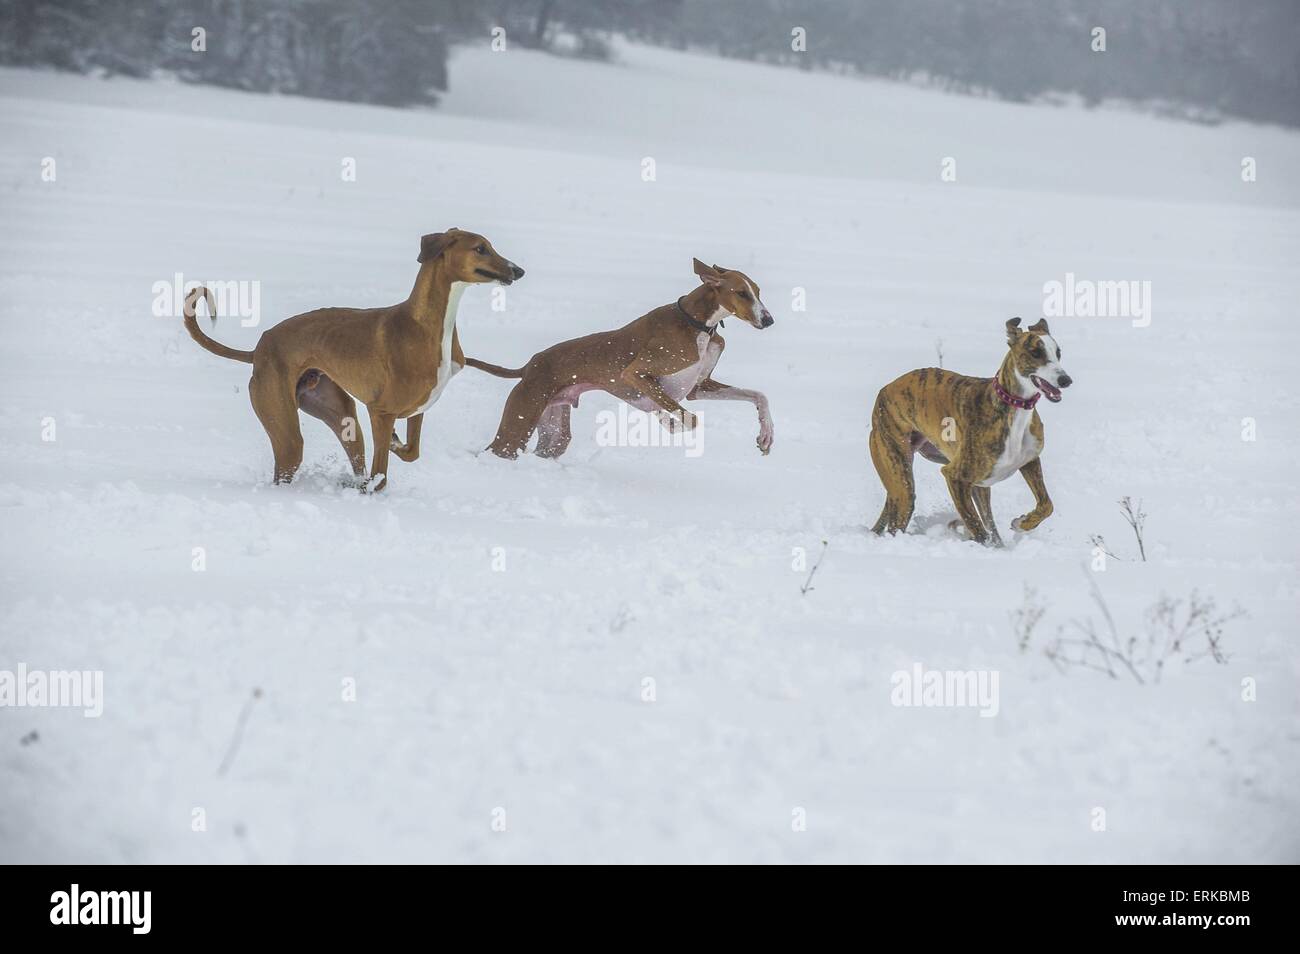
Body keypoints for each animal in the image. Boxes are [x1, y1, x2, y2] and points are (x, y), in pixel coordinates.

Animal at [182, 227, 522, 488]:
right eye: (480, 248)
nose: (518, 270)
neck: (428, 324)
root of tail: (259, 348)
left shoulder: (414, 411)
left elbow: (410, 452)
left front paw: (396, 444)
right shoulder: (380, 411)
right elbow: (381, 475)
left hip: (343, 416)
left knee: (354, 457)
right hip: (287, 430)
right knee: (287, 467)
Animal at [467, 257, 769, 460]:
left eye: (758, 291)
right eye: (741, 293)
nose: (769, 320)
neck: (697, 324)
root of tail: (529, 365)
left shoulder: (699, 388)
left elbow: (759, 395)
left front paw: (766, 435)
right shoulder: (636, 374)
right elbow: (687, 417)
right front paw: (668, 422)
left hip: (553, 429)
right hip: (518, 424)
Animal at [868, 319, 1071, 545]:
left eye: (1058, 353)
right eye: (1035, 352)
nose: (1066, 380)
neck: (1012, 406)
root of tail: (884, 390)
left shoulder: (1029, 461)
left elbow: (1046, 504)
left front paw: (1022, 523)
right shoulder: (954, 476)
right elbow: (978, 528)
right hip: (901, 473)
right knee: (899, 518)